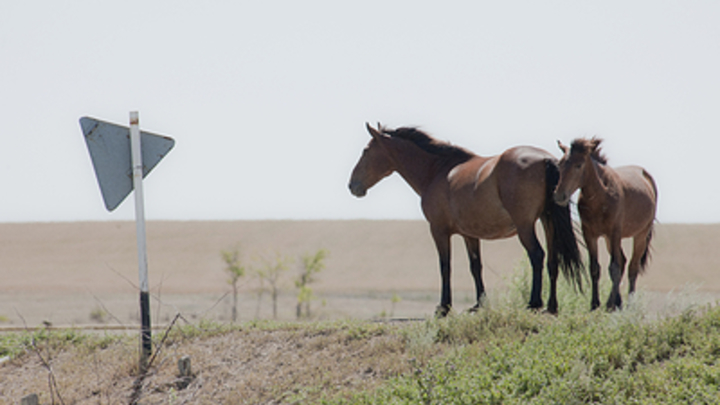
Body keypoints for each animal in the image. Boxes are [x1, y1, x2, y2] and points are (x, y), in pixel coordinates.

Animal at [346, 124, 584, 316]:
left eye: (366, 151)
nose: (352, 185)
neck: (438, 170)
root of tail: (546, 159)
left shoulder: (439, 231)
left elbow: (445, 266)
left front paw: (443, 307)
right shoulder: (470, 235)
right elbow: (475, 266)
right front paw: (479, 305)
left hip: (526, 227)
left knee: (537, 255)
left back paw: (533, 303)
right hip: (548, 221)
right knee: (553, 260)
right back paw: (551, 307)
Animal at [552, 137, 660, 310]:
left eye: (578, 165)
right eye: (560, 164)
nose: (559, 195)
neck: (601, 196)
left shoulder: (614, 232)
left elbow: (614, 268)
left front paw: (609, 304)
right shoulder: (590, 234)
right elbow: (595, 268)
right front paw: (595, 304)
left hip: (640, 235)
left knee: (632, 267)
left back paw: (628, 304)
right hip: (611, 240)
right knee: (623, 261)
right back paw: (618, 302)